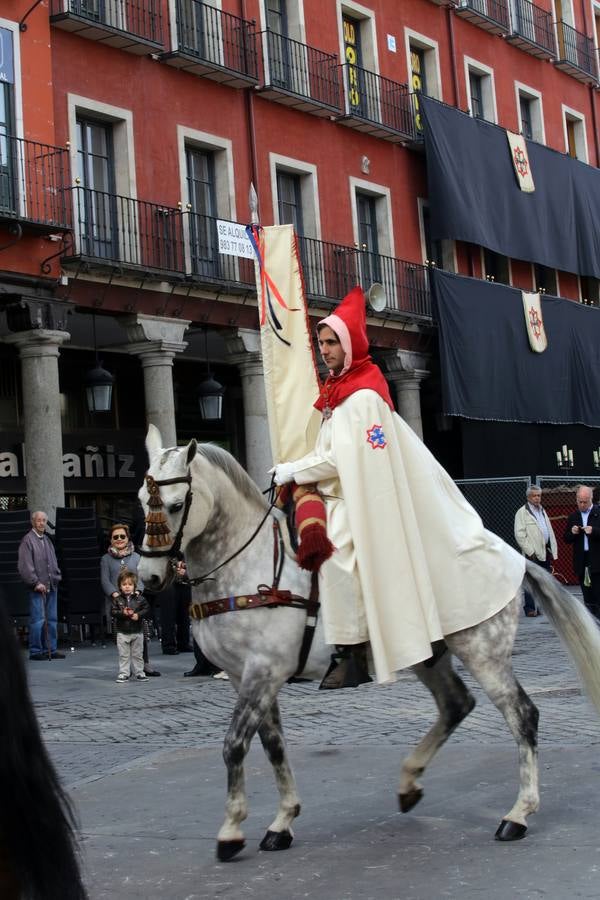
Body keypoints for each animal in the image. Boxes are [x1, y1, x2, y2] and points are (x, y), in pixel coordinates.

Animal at [137, 426, 600, 860]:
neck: (248, 566)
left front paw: (232, 830)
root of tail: (515, 557)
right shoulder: (245, 676)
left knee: (522, 715)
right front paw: (282, 821)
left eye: (176, 504)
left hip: (483, 651)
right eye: (143, 499)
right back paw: (410, 782)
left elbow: (234, 745)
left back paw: (518, 814)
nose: (148, 578)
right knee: (456, 704)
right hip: (429, 656)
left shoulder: (263, 671)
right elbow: (273, 746)